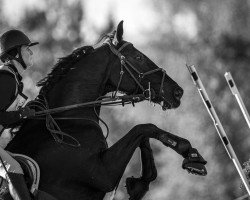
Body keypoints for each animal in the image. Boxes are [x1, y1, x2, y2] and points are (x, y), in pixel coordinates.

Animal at [4, 21, 207, 199]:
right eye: (139, 57)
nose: (178, 92)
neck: (67, 120)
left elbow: (144, 135)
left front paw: (140, 184)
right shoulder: (103, 174)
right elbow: (144, 128)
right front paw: (190, 153)